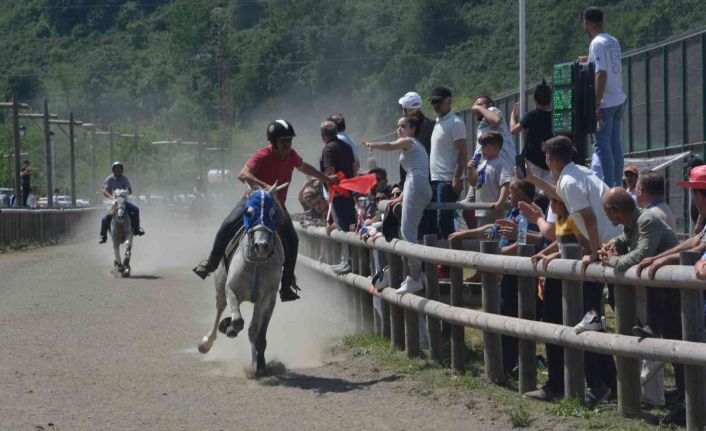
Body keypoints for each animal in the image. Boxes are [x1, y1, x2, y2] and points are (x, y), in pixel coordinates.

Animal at [195, 182, 286, 378]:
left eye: (274, 213)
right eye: (249, 212)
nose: (262, 246)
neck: (257, 263)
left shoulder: (268, 298)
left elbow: (259, 335)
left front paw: (261, 366)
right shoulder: (231, 290)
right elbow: (237, 321)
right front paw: (228, 326)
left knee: (252, 329)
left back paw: (255, 363)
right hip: (220, 286)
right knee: (220, 309)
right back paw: (206, 342)